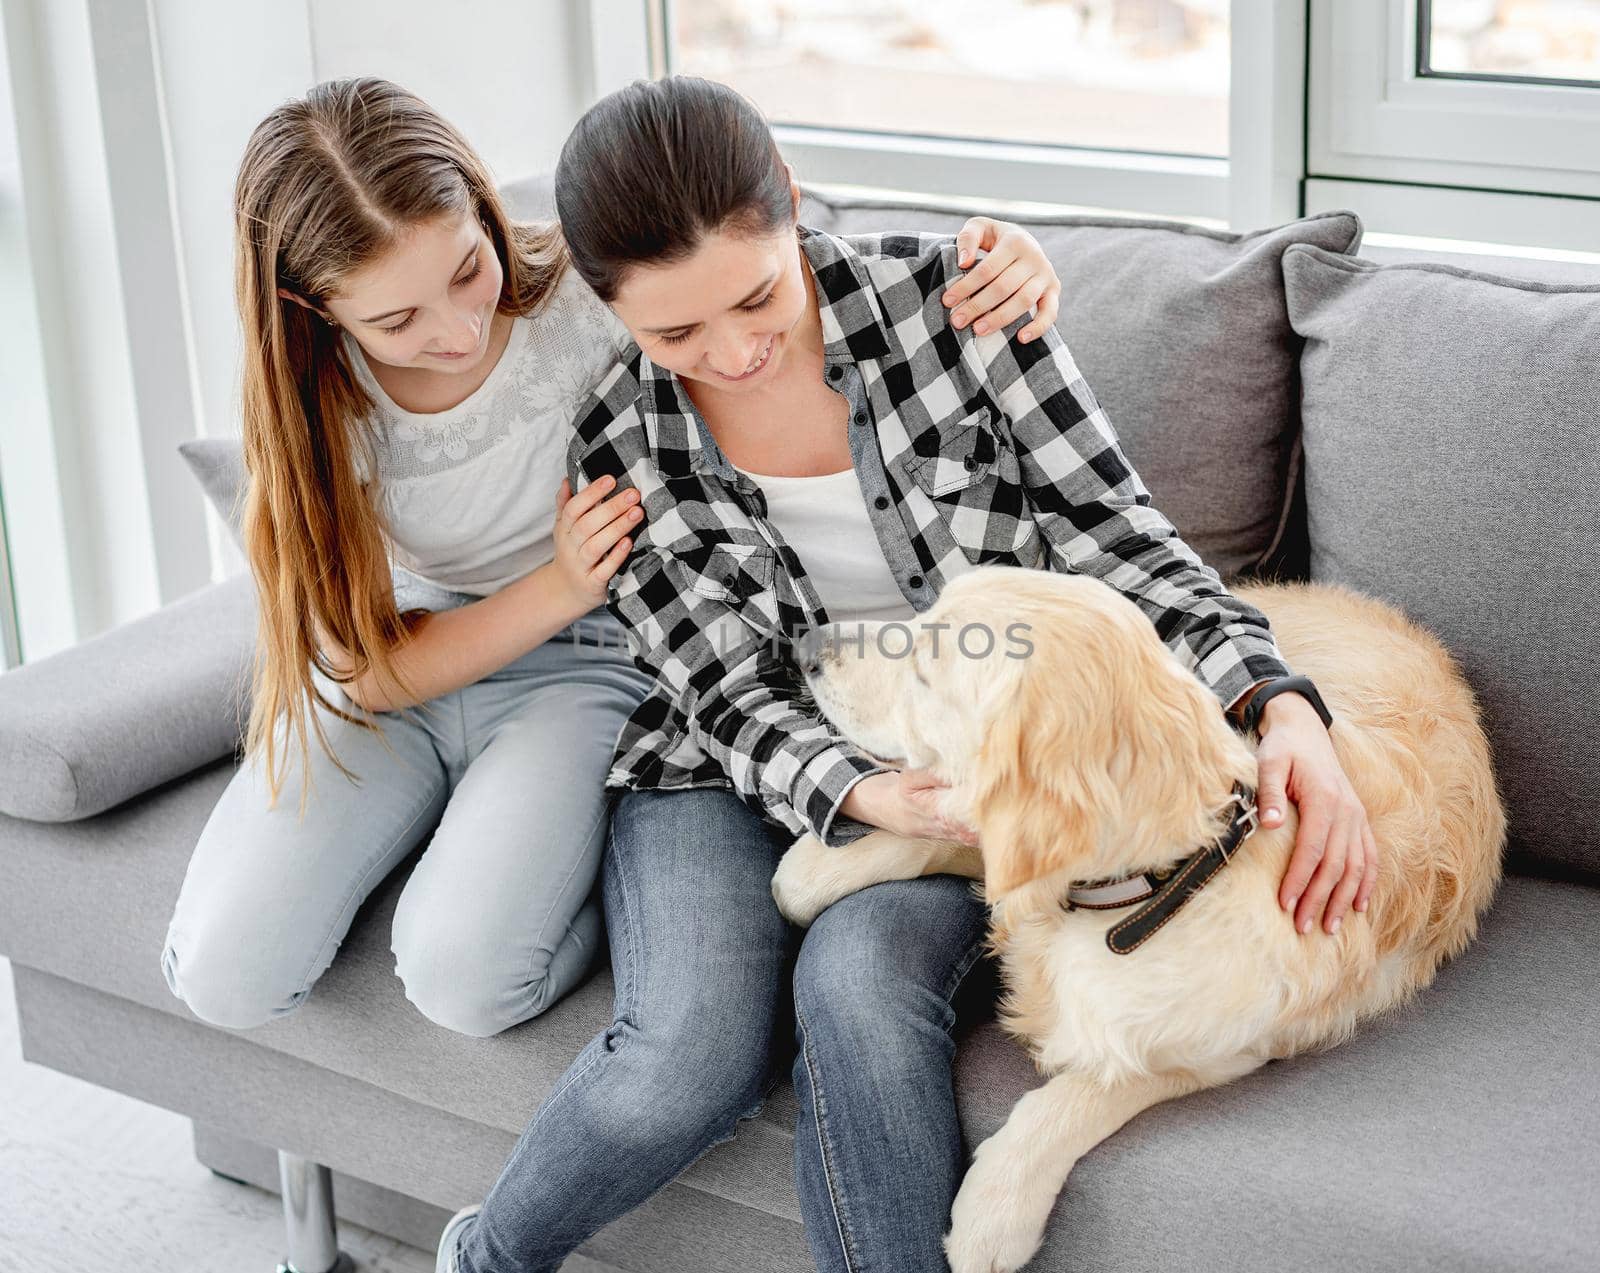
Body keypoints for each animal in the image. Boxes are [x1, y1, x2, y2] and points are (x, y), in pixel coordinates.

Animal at [768, 569, 1504, 1273]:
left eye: (929, 662)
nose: (806, 646)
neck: (1161, 875)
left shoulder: (1215, 1048)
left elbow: (1078, 1094)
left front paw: (993, 1211)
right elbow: (964, 841)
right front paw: (813, 870)